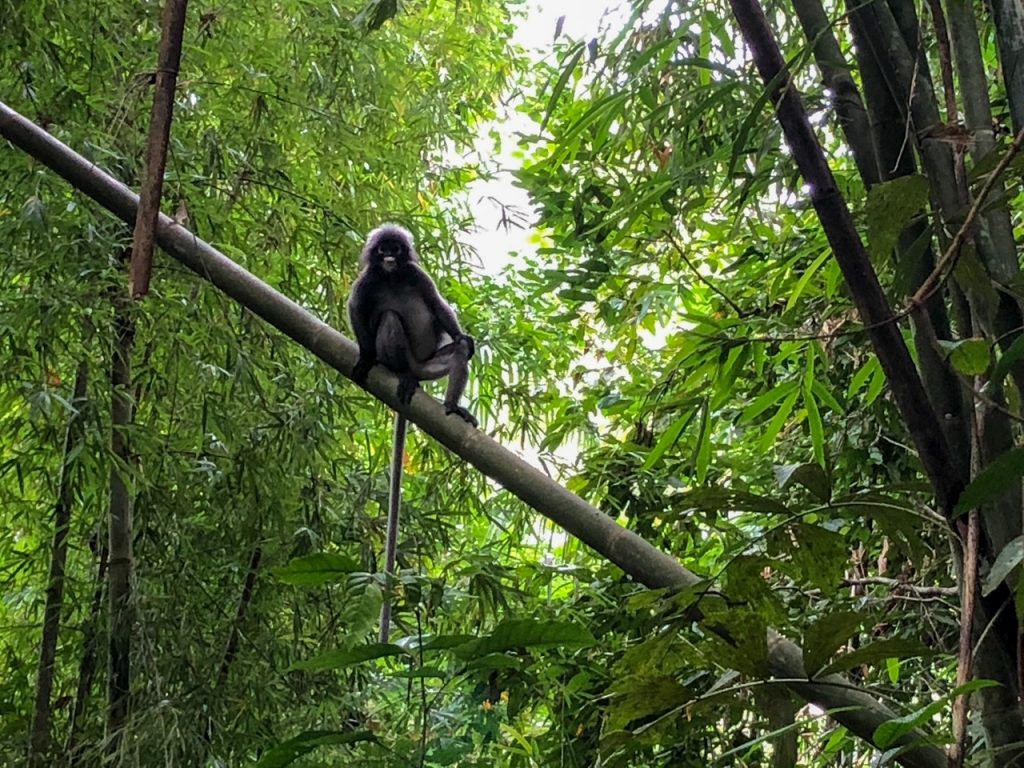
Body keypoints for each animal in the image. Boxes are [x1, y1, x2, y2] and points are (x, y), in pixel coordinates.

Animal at [347, 223, 477, 642]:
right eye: (383, 250)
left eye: (395, 250)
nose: (389, 257)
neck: (391, 277)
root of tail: (416, 369)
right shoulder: (366, 283)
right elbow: (357, 311)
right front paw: (364, 358)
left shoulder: (417, 276)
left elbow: (438, 308)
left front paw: (464, 335)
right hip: (402, 355)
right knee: (389, 318)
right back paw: (398, 373)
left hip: (431, 363)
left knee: (457, 353)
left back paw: (451, 407)